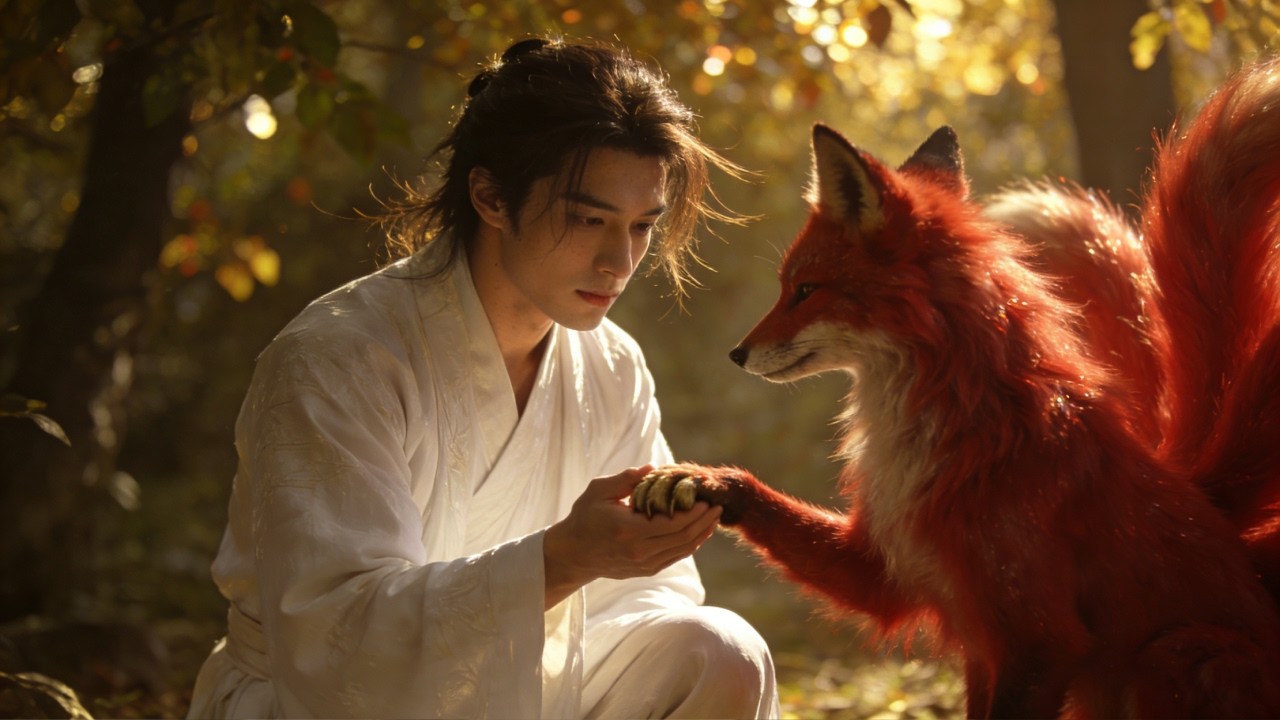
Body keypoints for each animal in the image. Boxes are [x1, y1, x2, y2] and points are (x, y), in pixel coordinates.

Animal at [633, 56, 1280, 717]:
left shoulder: (1040, 640)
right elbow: (762, 500)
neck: (945, 437)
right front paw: (704, 480)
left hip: (1174, 656)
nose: (736, 355)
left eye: (805, 290)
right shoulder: (898, 580)